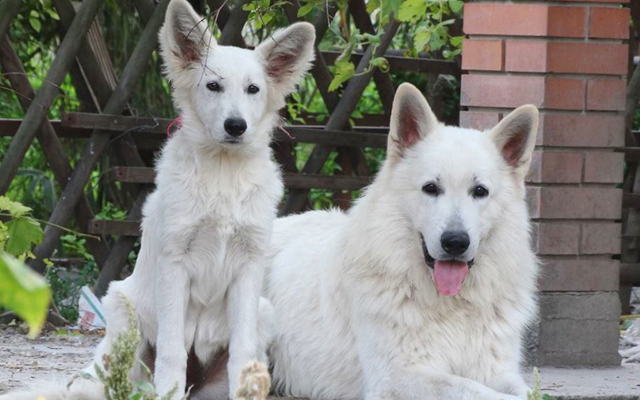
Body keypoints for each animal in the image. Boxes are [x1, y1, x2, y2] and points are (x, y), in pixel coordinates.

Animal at [264, 83, 540, 400]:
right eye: (431, 188)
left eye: (480, 191)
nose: (455, 242)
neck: (452, 305)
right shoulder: (396, 377)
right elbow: (467, 387)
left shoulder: (498, 371)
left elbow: (527, 391)